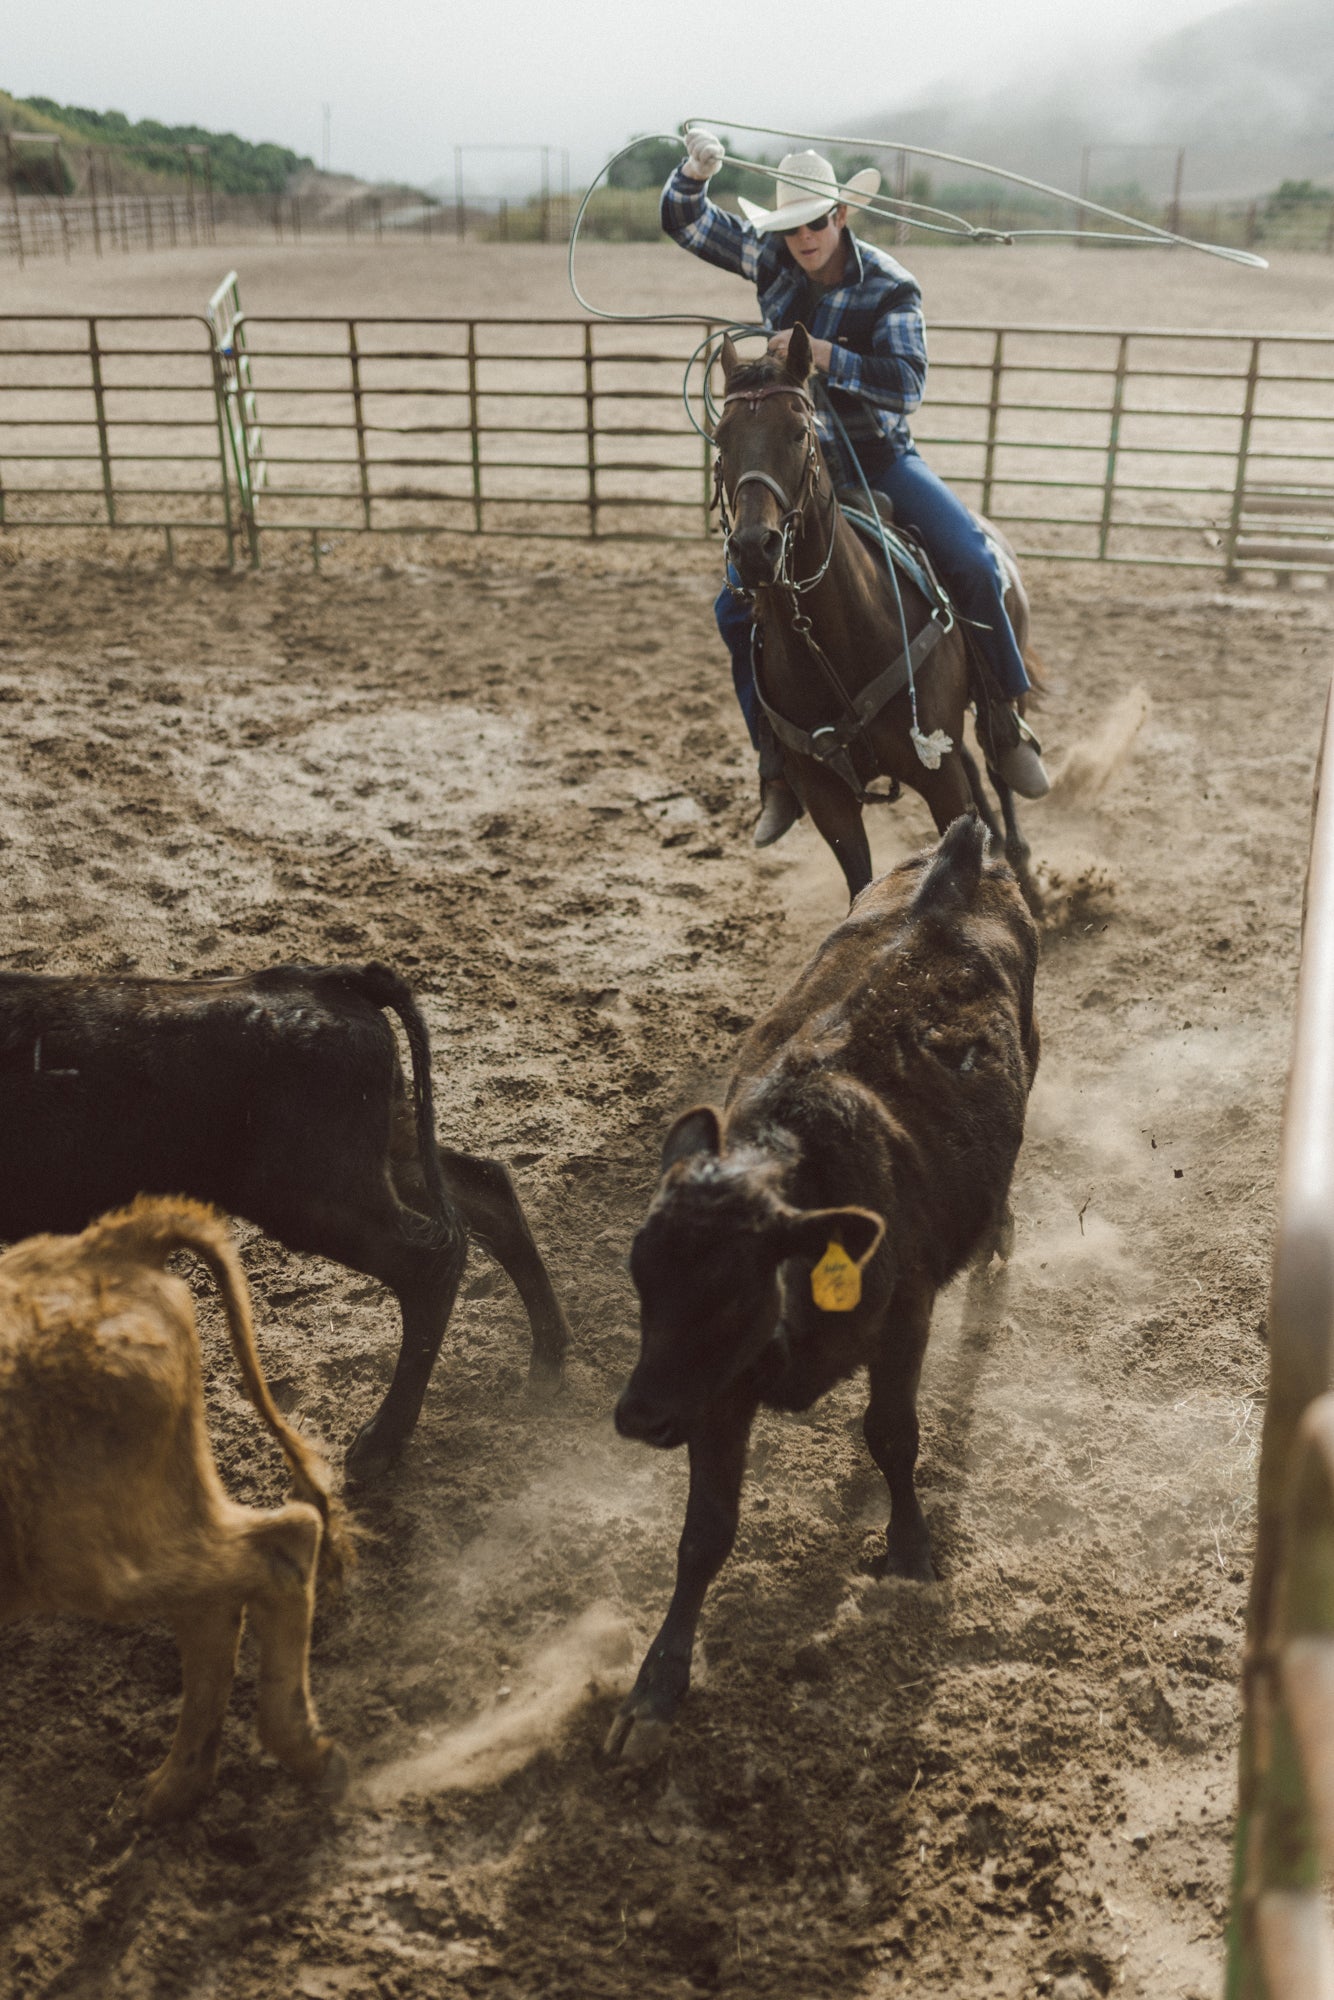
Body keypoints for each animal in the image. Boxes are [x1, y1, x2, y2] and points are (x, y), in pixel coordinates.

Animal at [0, 1192, 352, 1824]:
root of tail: (109, 1246)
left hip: (94, 1557)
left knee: (278, 1545)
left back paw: (309, 1761)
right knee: (218, 1602)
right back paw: (168, 1795)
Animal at [608, 812, 1040, 1768]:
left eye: (732, 1291)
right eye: (641, 1279)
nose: (640, 1418)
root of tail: (956, 857)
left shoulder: (906, 1319)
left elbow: (891, 1435)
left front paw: (910, 1552)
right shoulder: (719, 1391)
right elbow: (705, 1532)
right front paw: (656, 1684)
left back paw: (997, 1233)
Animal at [716, 328, 1048, 916]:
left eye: (798, 432)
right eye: (719, 438)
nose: (755, 548)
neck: (835, 641)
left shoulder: (939, 781)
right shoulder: (826, 796)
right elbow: (860, 885)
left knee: (997, 757)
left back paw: (1022, 860)